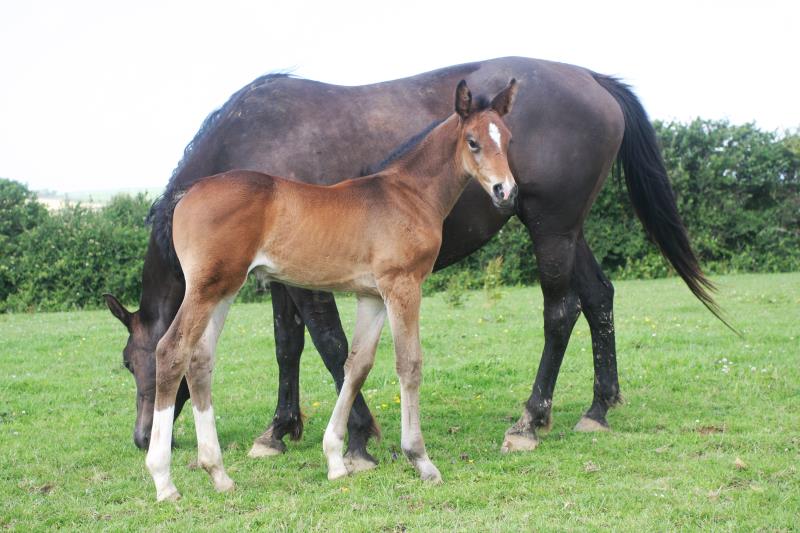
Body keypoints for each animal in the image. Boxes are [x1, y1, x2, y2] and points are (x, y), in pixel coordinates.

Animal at [145, 79, 520, 498]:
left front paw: (337, 460)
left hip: (222, 289)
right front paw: (421, 460)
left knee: (200, 360)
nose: (506, 191)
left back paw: (219, 473)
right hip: (206, 289)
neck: (407, 194)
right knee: (172, 351)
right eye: (473, 142)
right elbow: (409, 364)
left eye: (507, 138)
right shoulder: (403, 285)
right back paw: (163, 480)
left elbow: (356, 364)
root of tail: (186, 195)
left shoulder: (372, 295)